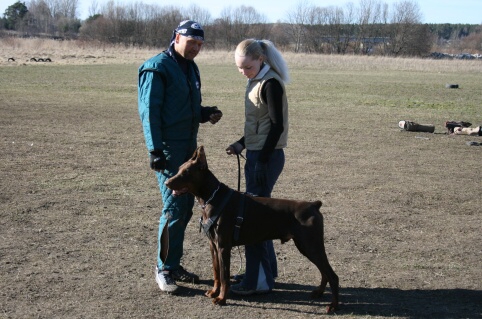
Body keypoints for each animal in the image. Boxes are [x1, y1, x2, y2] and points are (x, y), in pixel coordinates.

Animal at [166, 146, 338, 314]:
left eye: (186, 172)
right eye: (179, 169)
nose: (167, 182)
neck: (212, 198)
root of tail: (314, 205)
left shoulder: (223, 247)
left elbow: (224, 276)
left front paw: (221, 299)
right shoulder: (213, 246)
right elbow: (216, 272)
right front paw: (214, 292)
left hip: (309, 245)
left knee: (332, 275)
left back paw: (333, 306)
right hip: (308, 246)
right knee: (324, 271)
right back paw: (319, 292)